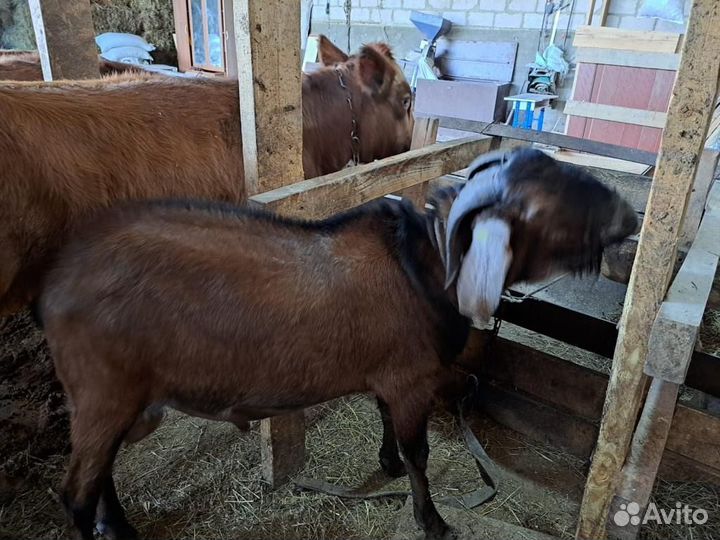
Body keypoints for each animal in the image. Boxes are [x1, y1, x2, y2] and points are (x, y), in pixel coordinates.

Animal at [38, 148, 638, 540]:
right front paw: (433, 521)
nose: (629, 216)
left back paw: (119, 530)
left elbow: (385, 418)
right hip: (104, 392)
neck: (424, 263)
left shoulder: (389, 373)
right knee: (76, 492)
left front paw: (387, 463)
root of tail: (56, 283)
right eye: (538, 208)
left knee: (101, 471)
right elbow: (420, 451)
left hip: (122, 400)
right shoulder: (410, 378)